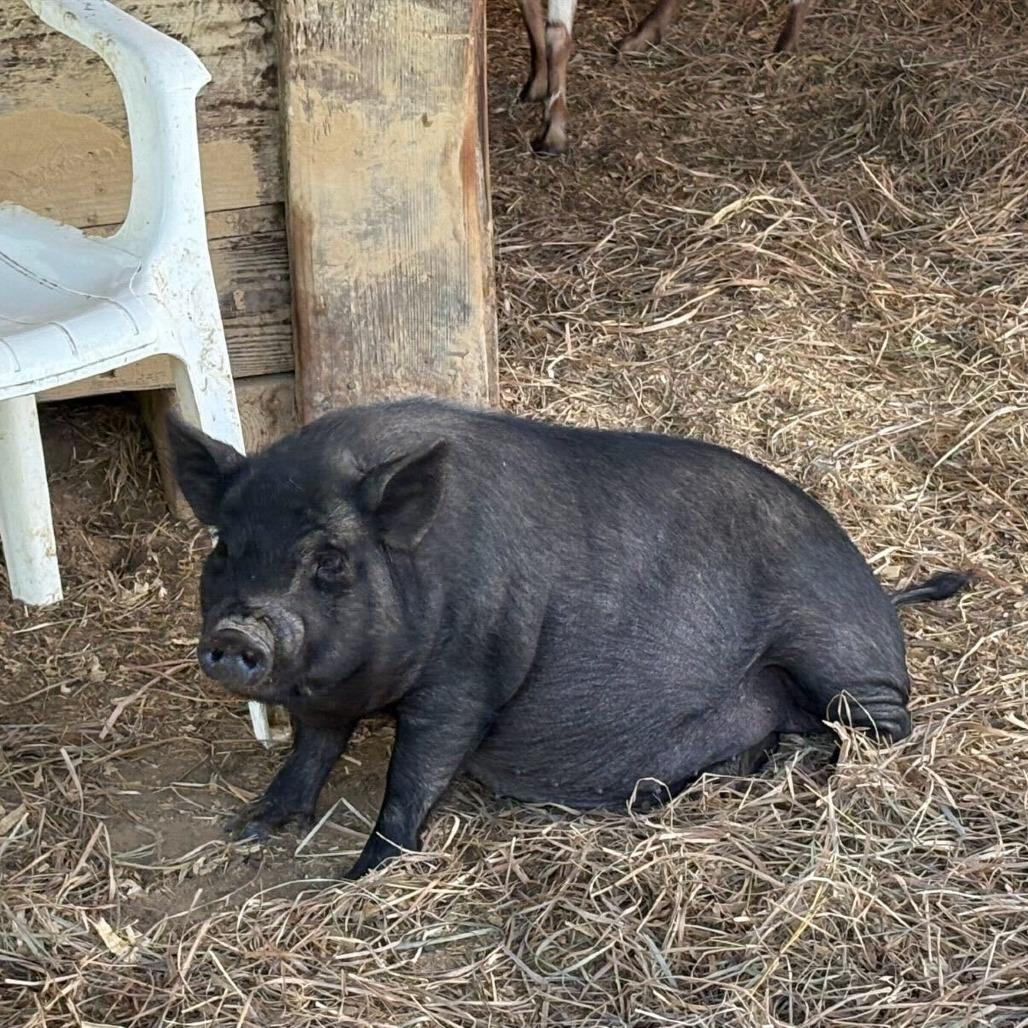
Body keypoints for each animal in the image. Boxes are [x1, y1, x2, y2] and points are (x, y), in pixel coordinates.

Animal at [167, 398, 968, 879]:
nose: (240, 630)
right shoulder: (329, 688)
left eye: (330, 561)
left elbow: (414, 772)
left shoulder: (467, 678)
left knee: (884, 728)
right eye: (224, 547)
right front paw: (249, 829)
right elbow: (311, 749)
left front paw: (366, 871)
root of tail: (879, 589)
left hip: (840, 658)